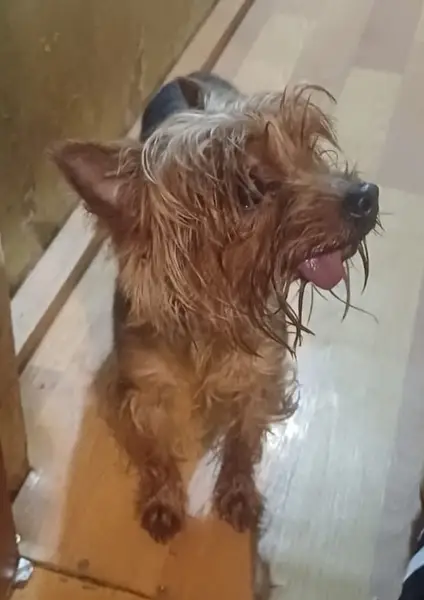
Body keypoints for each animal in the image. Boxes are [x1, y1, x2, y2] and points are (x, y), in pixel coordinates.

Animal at [52, 71, 380, 543]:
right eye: (251, 188)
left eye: (309, 150)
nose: (367, 195)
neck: (210, 313)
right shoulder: (146, 389)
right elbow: (157, 452)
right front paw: (164, 500)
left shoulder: (259, 375)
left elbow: (244, 438)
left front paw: (238, 492)